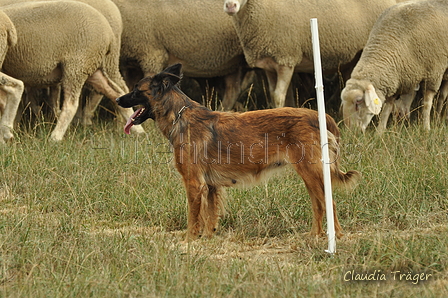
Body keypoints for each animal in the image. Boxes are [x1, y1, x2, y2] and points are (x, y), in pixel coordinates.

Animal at [0, 0, 144, 141]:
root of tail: (108, 34)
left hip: (76, 65)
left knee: (71, 104)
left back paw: (55, 137)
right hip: (91, 67)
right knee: (115, 92)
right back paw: (138, 130)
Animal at [110, 0, 247, 110]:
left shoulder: (152, 55)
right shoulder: (132, 65)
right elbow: (127, 89)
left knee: (232, 90)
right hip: (232, 62)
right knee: (233, 89)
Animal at [116, 64, 360, 241]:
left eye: (136, 90)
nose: (118, 100)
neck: (179, 114)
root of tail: (318, 115)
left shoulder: (194, 183)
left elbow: (194, 217)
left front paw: (189, 240)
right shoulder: (210, 186)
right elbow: (210, 215)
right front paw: (207, 237)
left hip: (313, 173)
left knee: (328, 204)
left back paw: (335, 236)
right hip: (310, 175)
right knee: (318, 205)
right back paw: (314, 236)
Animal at [340, 0, 448, 132]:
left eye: (358, 102)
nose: (350, 132)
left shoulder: (433, 73)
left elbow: (426, 105)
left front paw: (426, 128)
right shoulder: (398, 79)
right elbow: (387, 108)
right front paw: (380, 132)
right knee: (443, 95)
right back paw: (439, 118)